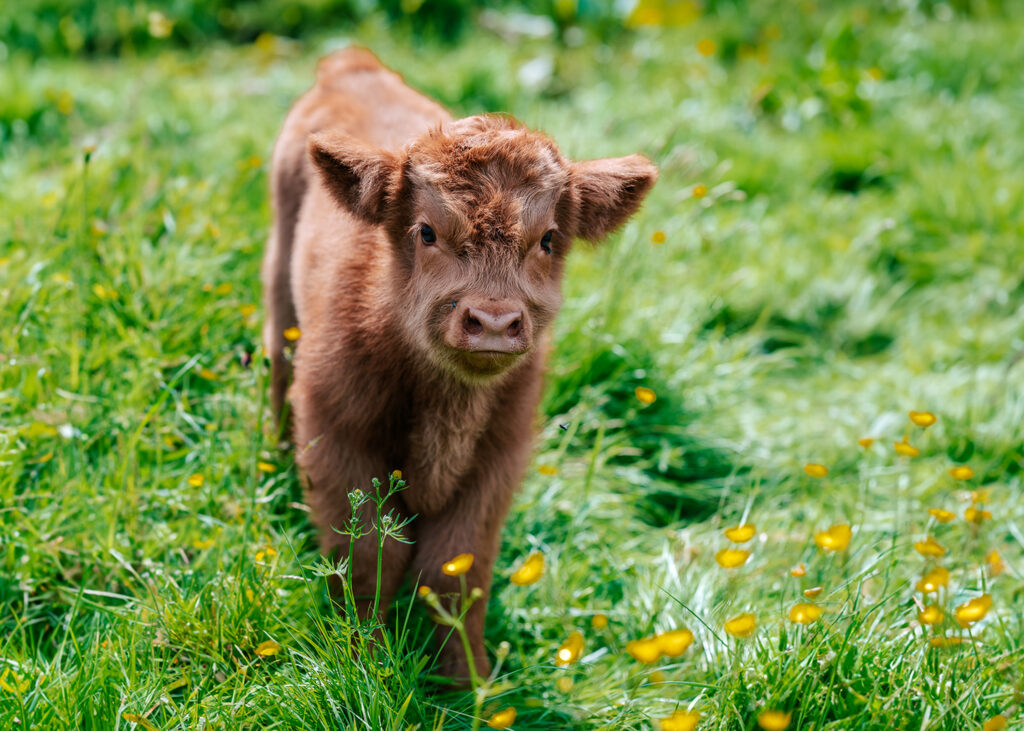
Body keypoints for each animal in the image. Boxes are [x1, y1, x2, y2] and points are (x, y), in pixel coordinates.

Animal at [262, 47, 655, 675]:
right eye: (426, 232)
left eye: (547, 239)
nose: (492, 322)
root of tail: (352, 65)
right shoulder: (338, 438)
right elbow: (368, 562)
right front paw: (365, 664)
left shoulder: (496, 460)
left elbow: (453, 571)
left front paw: (465, 681)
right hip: (279, 283)